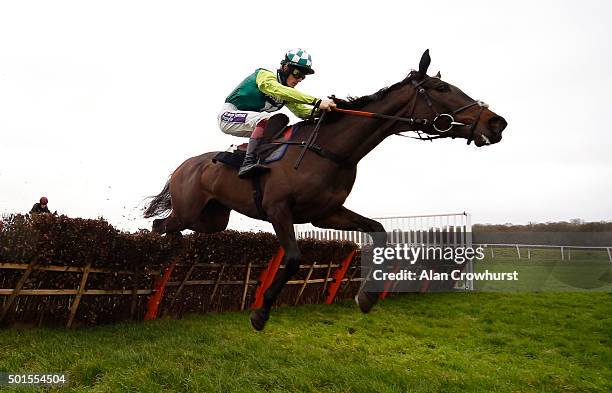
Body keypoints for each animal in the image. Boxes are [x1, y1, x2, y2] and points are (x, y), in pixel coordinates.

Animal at [142, 50, 506, 330]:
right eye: (442, 87)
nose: (496, 123)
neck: (331, 151)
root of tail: (184, 166)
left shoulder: (325, 213)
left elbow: (379, 232)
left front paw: (367, 297)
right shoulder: (278, 209)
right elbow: (292, 259)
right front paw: (261, 313)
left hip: (212, 219)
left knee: (168, 226)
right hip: (192, 207)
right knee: (161, 224)